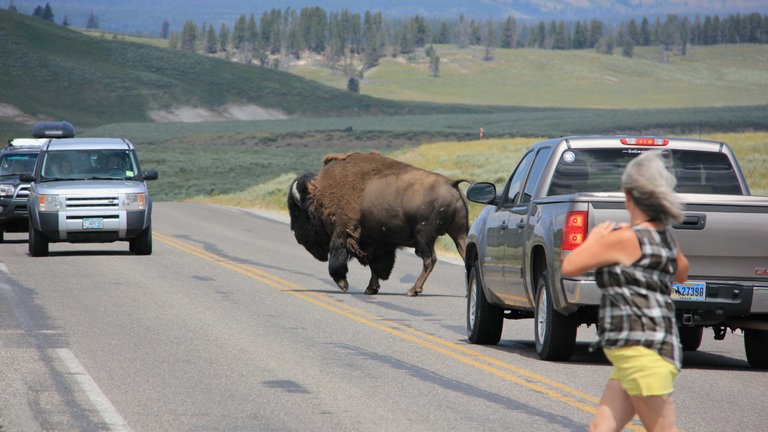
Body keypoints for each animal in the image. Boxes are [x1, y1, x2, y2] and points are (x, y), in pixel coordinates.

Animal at [288, 151, 468, 296]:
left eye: (297, 213)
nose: (297, 236)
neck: (321, 195)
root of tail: (452, 183)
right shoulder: (378, 244)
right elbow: (377, 266)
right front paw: (371, 288)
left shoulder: (342, 234)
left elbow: (338, 261)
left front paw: (343, 284)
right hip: (459, 233)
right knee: (464, 256)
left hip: (424, 237)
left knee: (429, 260)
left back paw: (413, 290)